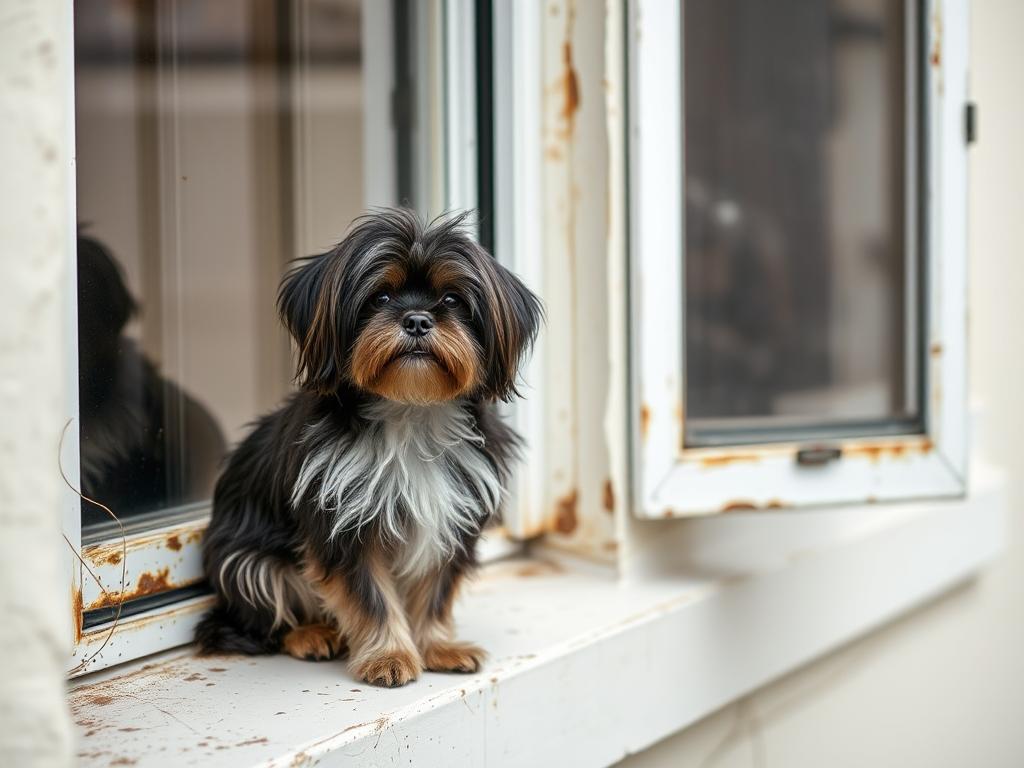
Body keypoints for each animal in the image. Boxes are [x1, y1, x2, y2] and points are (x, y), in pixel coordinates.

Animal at [194, 207, 540, 688]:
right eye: (380, 297)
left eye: (452, 300)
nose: (417, 319)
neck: (410, 410)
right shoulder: (343, 524)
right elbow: (370, 595)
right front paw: (389, 656)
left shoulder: (452, 516)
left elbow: (436, 589)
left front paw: (438, 646)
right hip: (244, 562)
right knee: (263, 617)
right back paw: (310, 634)